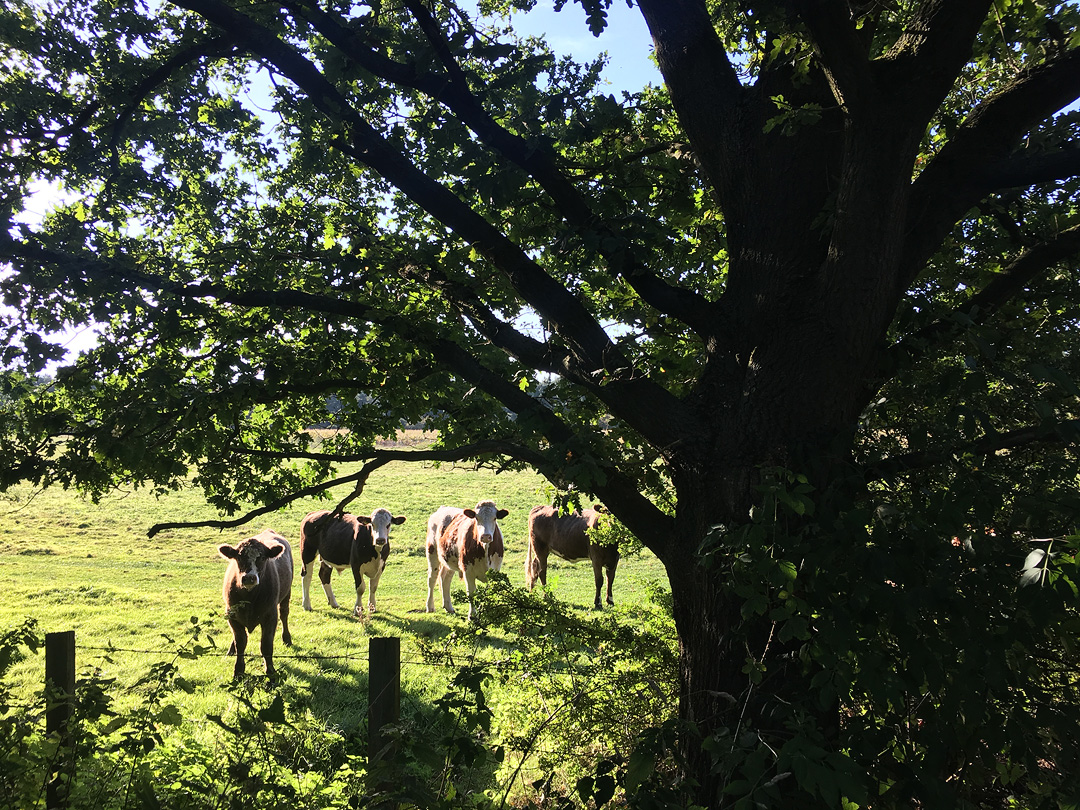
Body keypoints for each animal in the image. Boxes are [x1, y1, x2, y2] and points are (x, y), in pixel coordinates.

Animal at [217, 529, 293, 682]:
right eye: (239, 557)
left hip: (287, 594)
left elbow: (266, 645)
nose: (249, 577)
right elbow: (240, 642)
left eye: (262, 558)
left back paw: (287, 638)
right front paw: (238, 671)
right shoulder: (232, 616)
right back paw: (231, 649)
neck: (249, 598)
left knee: (284, 614)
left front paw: (270, 672)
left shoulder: (270, 616)